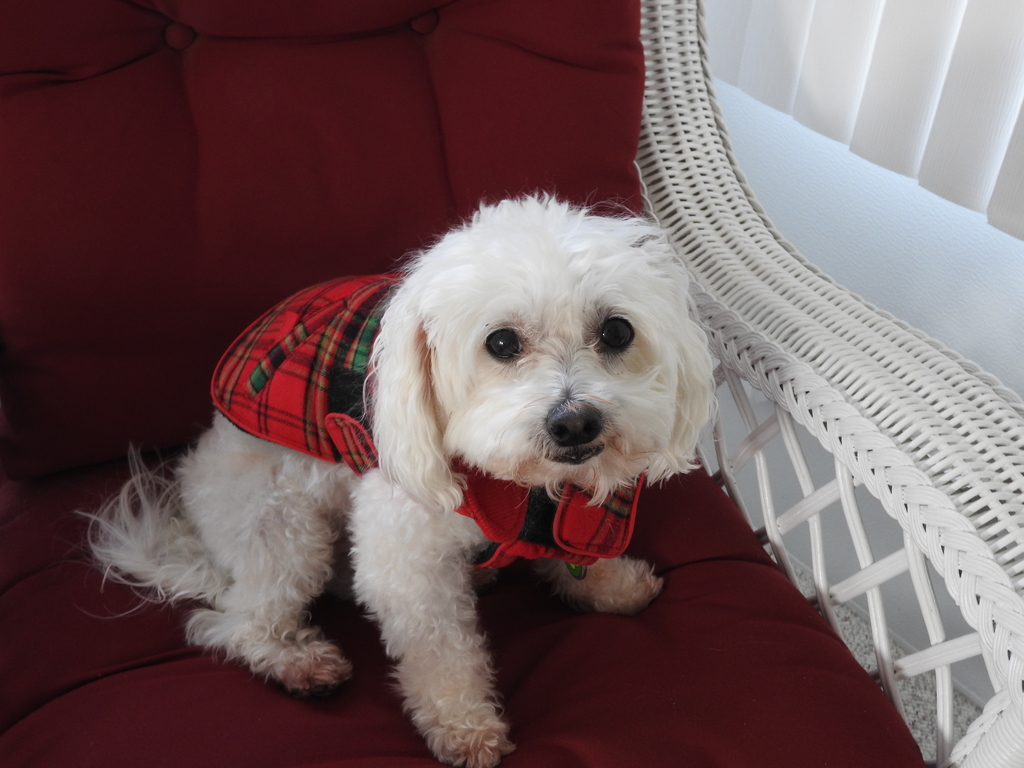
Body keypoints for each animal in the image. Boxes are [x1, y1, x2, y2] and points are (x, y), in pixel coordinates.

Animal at [87, 196, 715, 768]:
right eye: (501, 342)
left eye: (616, 332)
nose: (575, 422)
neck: (522, 486)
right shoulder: (406, 555)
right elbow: (440, 648)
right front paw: (464, 725)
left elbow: (565, 545)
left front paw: (605, 583)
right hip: (281, 527)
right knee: (235, 621)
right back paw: (297, 661)